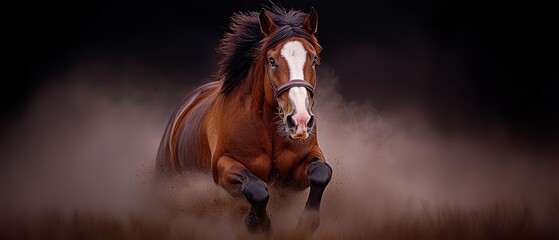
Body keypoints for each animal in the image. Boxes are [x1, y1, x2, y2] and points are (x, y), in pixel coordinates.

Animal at [155, 4, 332, 232]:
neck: (270, 131)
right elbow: (257, 188)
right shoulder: (223, 166)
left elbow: (321, 172)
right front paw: (258, 223)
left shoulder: (295, 174)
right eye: (272, 61)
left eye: (314, 60)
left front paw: (307, 223)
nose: (300, 121)